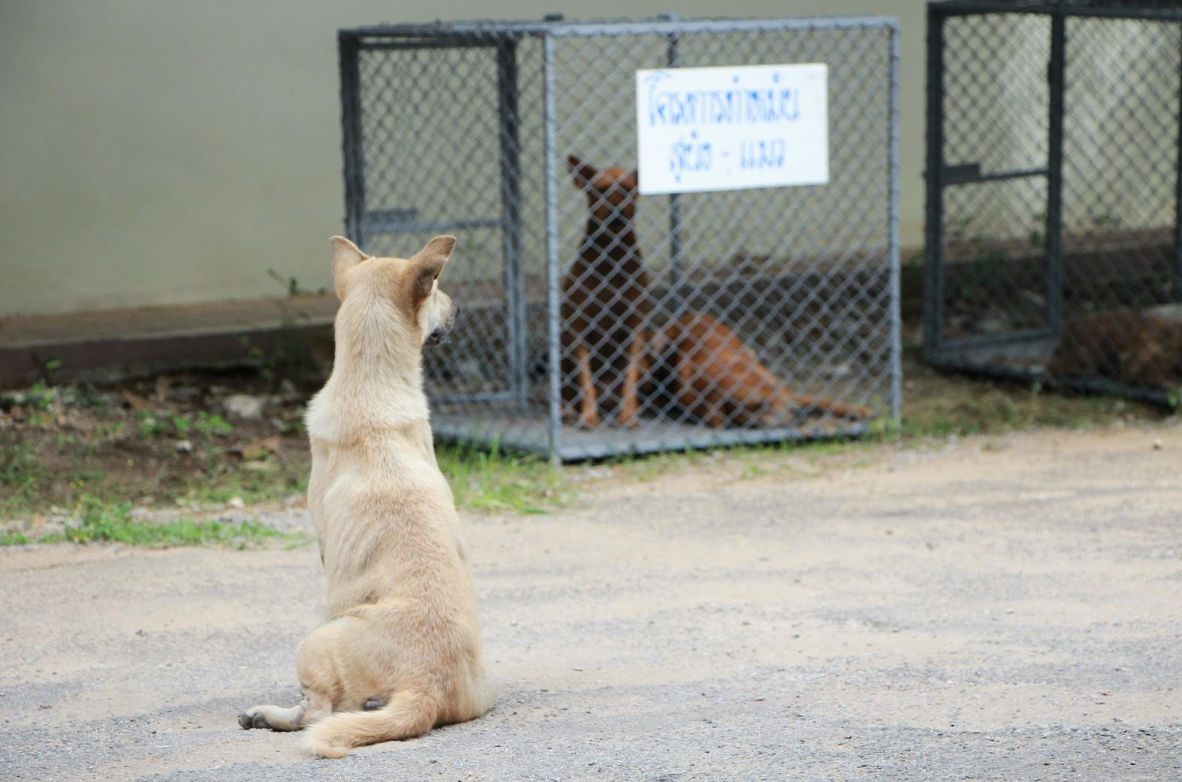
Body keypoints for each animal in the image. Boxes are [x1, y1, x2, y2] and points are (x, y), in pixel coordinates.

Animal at [237, 233, 496, 760]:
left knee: (317, 714)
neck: (370, 384)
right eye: (437, 288)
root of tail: (426, 686)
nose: (460, 308)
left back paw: (268, 716)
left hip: (314, 642)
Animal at [562, 157, 657, 432]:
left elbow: (630, 375)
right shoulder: (578, 328)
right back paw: (567, 410)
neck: (611, 259)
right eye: (601, 190)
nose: (617, 215)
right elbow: (584, 380)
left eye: (627, 190)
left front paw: (628, 415)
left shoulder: (635, 326)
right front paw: (588, 416)